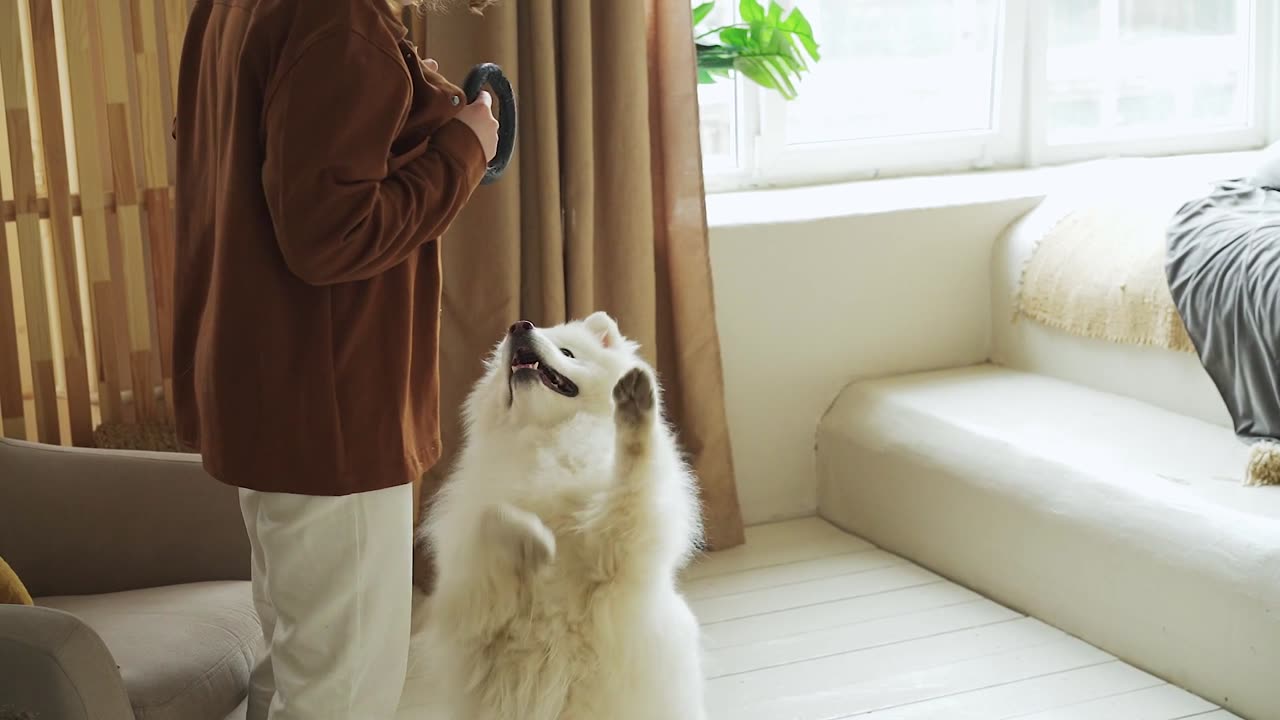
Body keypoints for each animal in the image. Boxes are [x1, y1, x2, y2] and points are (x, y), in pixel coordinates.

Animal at [404, 310, 706, 717]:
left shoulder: (617, 547)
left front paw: (634, 410)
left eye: (567, 352)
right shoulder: (472, 598)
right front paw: (531, 540)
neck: (547, 436)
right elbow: (490, 516)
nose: (519, 326)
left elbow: (631, 473)